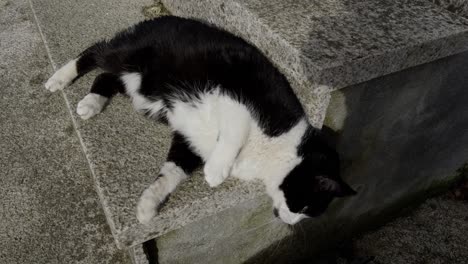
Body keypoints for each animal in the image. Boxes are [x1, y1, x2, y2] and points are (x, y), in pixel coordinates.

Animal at [45, 15, 356, 225]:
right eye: (306, 207)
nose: (288, 222)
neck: (279, 152)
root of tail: (162, 17)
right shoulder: (238, 95)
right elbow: (236, 129)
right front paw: (216, 172)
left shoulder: (191, 141)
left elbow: (174, 171)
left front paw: (148, 204)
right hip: (132, 53)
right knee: (96, 52)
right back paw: (59, 78)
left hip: (139, 84)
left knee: (106, 77)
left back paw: (91, 102)